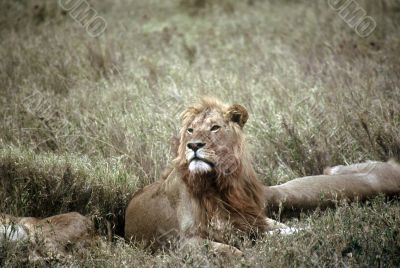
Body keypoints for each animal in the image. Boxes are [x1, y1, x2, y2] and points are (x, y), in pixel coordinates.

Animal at [125, 98, 400, 255]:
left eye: (214, 128)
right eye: (190, 130)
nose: (193, 145)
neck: (218, 184)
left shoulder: (251, 219)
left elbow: (284, 228)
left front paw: (307, 231)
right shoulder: (179, 241)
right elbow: (230, 251)